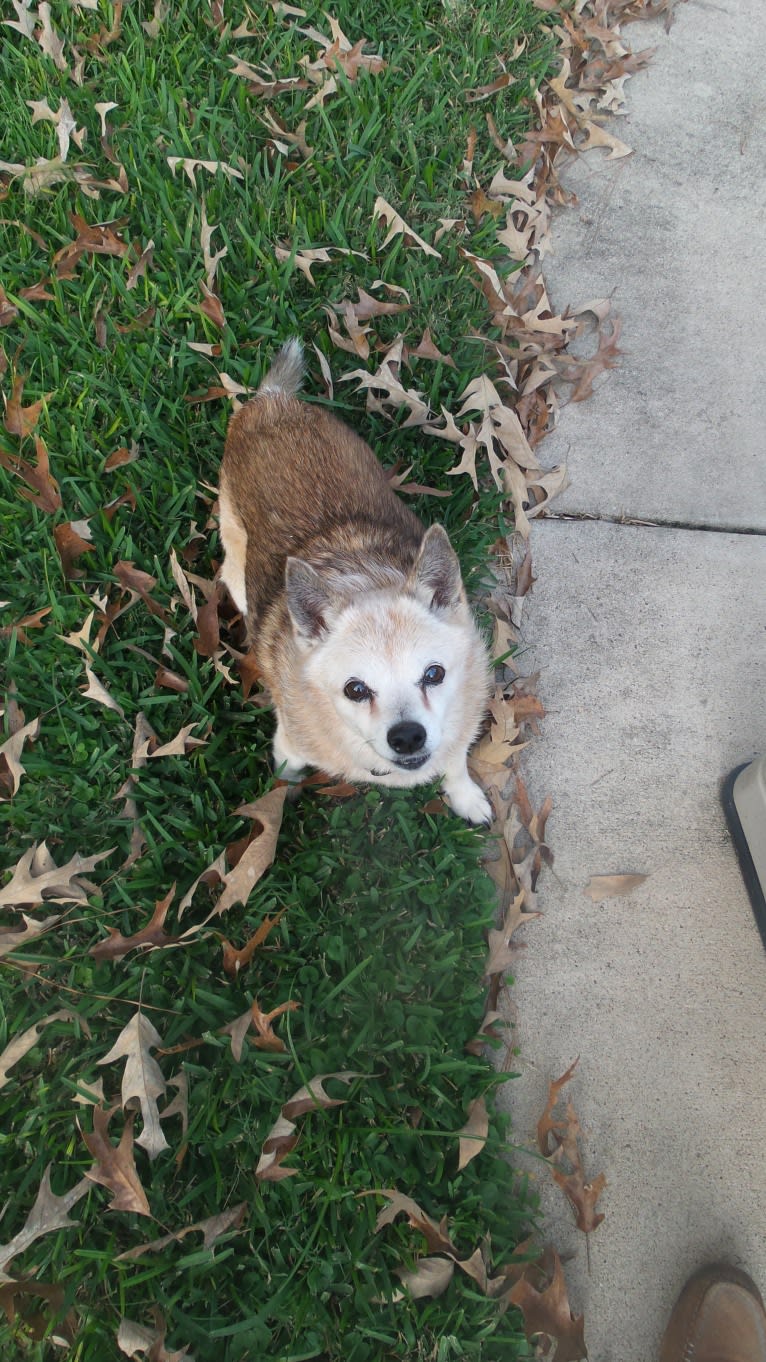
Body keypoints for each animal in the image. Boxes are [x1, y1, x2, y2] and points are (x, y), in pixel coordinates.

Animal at [216, 340, 487, 828]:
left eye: (434, 674)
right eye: (355, 690)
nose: (407, 736)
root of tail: (270, 402)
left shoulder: (458, 729)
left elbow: (455, 763)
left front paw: (466, 797)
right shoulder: (292, 742)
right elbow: (287, 767)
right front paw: (284, 792)